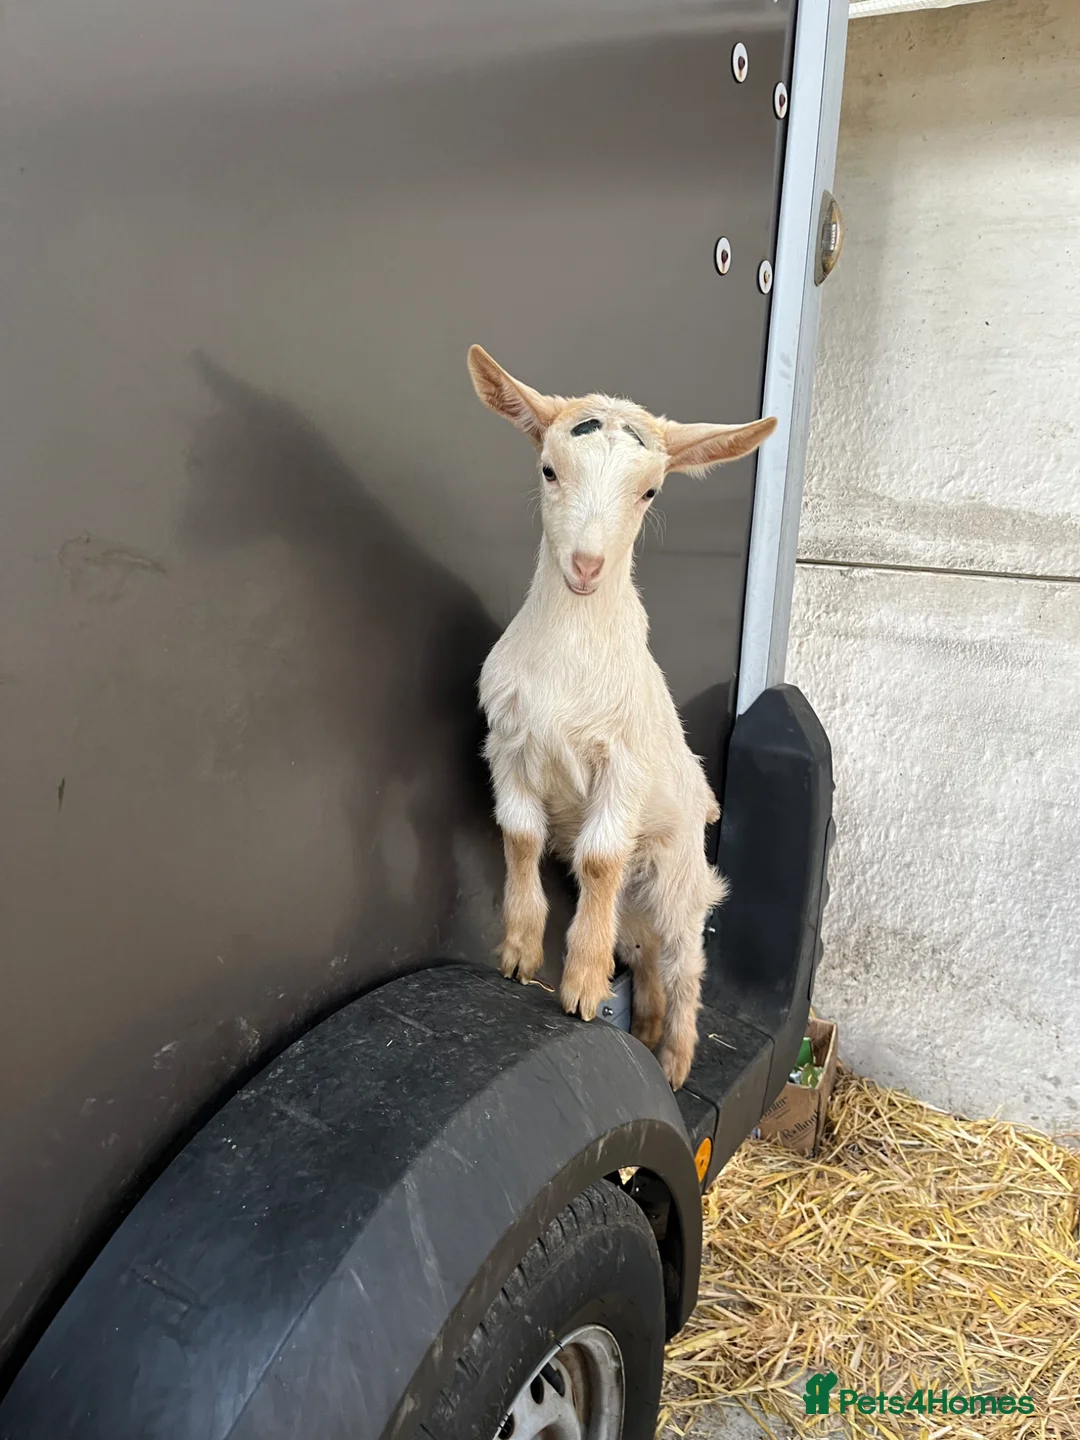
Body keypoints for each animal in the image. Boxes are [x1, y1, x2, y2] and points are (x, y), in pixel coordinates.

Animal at [468, 345, 776, 1089]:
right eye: (549, 469)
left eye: (650, 492)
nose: (586, 567)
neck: (568, 657)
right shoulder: (509, 746)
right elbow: (520, 838)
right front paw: (520, 953)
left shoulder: (623, 765)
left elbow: (600, 860)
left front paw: (580, 986)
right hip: (641, 913)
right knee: (646, 958)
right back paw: (645, 1029)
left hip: (680, 883)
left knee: (686, 963)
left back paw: (676, 1061)